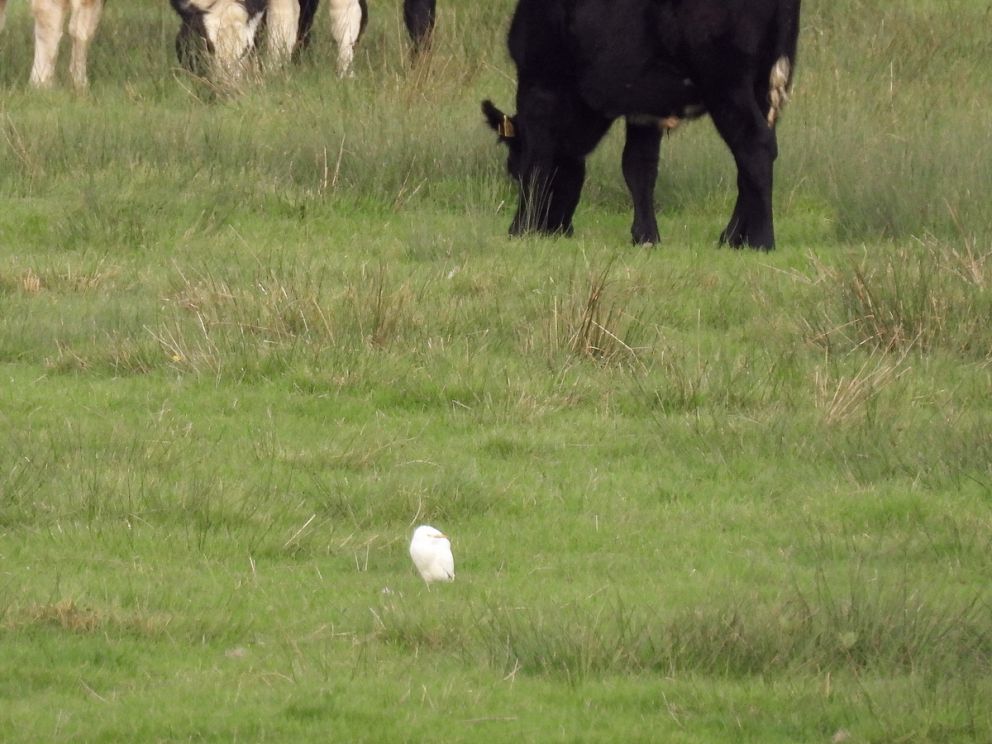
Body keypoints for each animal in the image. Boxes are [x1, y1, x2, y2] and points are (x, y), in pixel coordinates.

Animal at [482, 0, 801, 250]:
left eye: (512, 170)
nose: (555, 229)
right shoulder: (646, 107)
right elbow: (639, 168)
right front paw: (646, 236)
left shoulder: (540, 88)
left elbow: (538, 163)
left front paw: (519, 228)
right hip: (763, 84)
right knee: (753, 159)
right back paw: (731, 237)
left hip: (725, 81)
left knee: (754, 146)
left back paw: (761, 240)